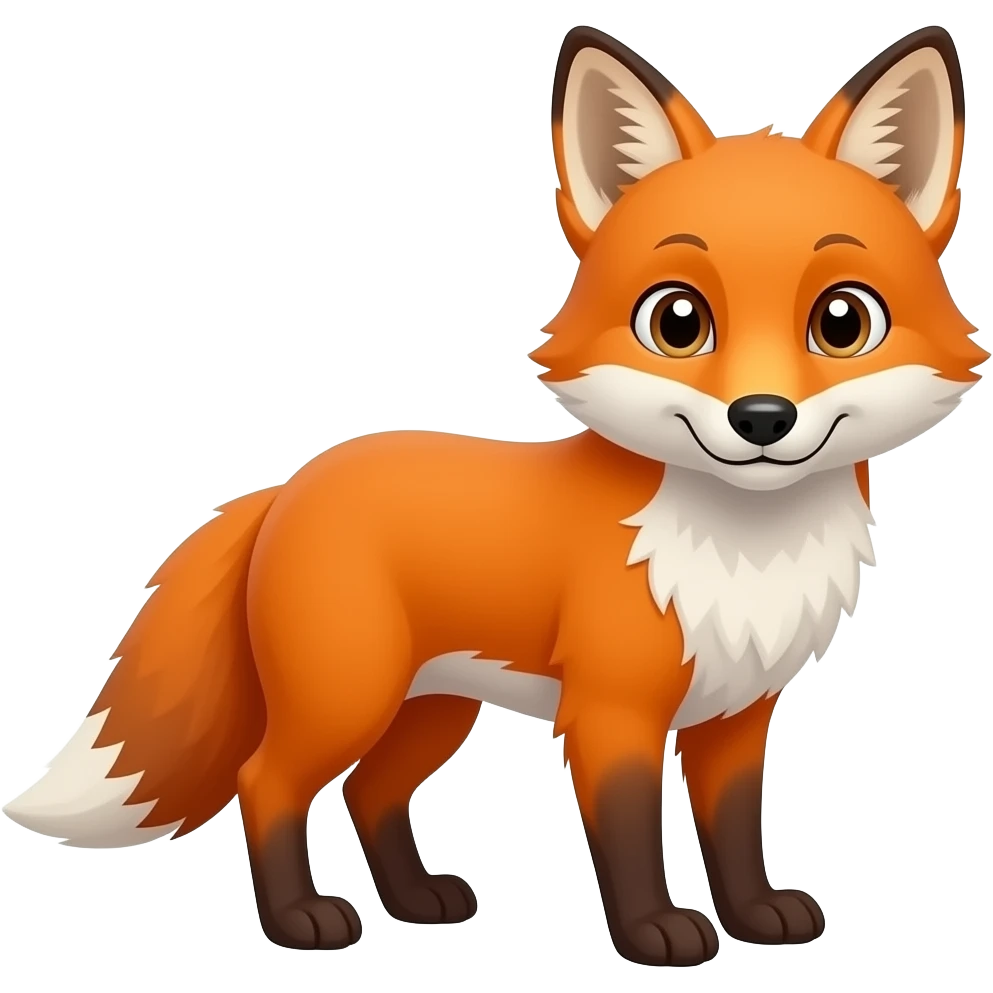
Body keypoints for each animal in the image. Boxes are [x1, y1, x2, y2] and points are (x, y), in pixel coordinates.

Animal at [3, 24, 986, 966]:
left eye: (841, 321)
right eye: (677, 321)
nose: (761, 417)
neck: (739, 550)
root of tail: (287, 483)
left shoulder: (737, 715)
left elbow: (736, 834)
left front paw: (754, 917)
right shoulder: (612, 711)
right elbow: (629, 838)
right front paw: (653, 934)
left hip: (432, 709)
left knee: (369, 791)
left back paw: (416, 902)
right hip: (347, 696)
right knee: (267, 780)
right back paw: (299, 921)